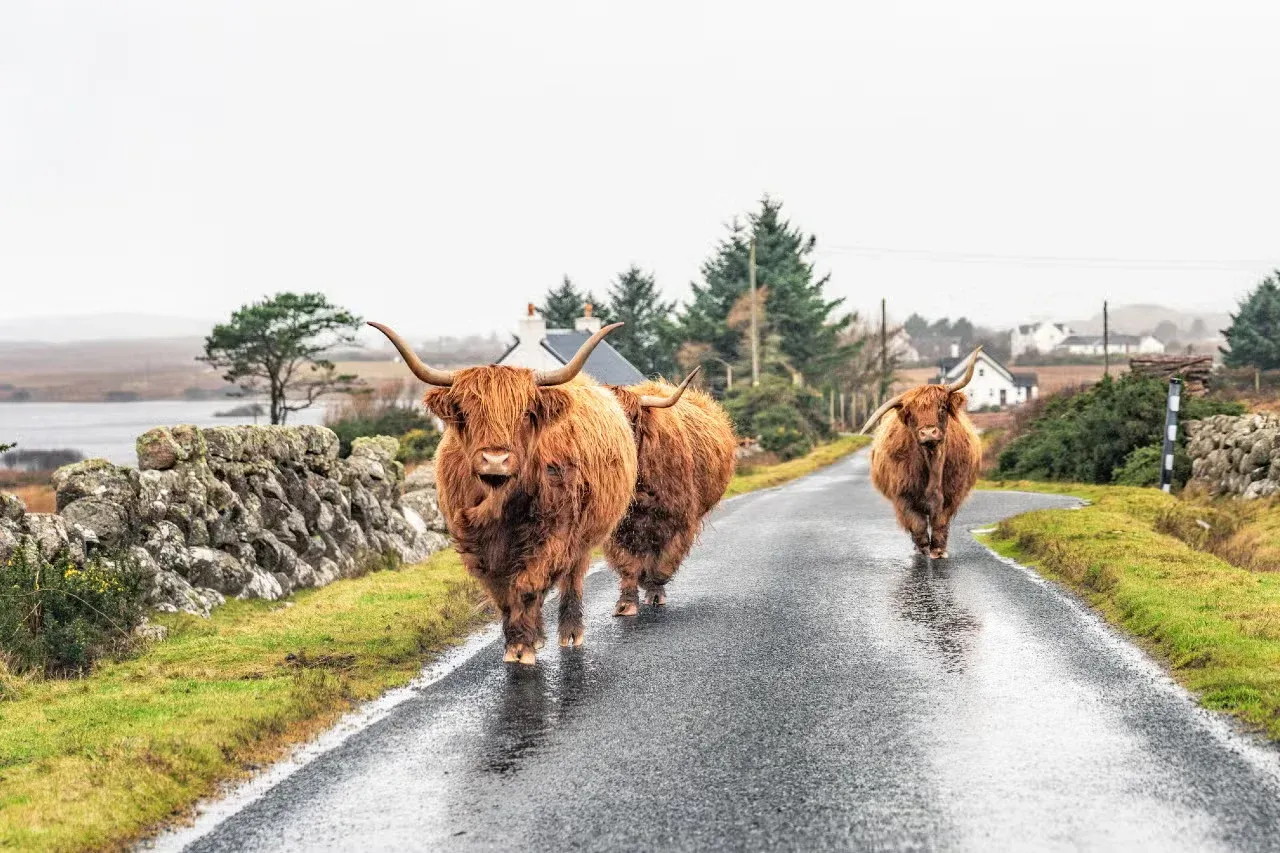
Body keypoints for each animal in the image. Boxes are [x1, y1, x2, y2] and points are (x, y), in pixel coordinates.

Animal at [369, 320, 638, 665]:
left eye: (525, 414)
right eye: (466, 414)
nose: (495, 459)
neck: (500, 504)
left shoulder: (552, 536)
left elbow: (528, 585)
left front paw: (525, 647)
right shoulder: (478, 546)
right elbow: (503, 593)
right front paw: (517, 643)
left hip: (584, 537)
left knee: (571, 578)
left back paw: (570, 632)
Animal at [605, 368, 738, 615]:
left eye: (632, 419)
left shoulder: (679, 520)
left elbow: (664, 561)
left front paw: (654, 591)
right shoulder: (617, 527)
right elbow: (627, 563)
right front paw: (626, 604)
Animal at [861, 348, 983, 559]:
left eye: (941, 408)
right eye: (912, 414)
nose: (928, 432)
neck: (932, 460)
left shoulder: (951, 494)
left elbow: (940, 522)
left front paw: (938, 550)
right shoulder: (903, 496)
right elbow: (916, 523)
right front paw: (924, 547)